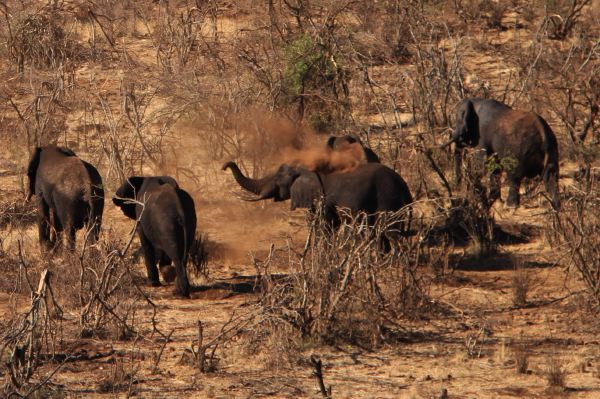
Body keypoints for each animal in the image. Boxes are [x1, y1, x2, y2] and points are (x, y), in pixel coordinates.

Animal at [223, 162, 414, 244]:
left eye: (277, 180)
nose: (224, 167)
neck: (305, 169)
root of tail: (405, 185)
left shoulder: (323, 200)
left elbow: (326, 226)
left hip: (388, 198)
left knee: (390, 231)